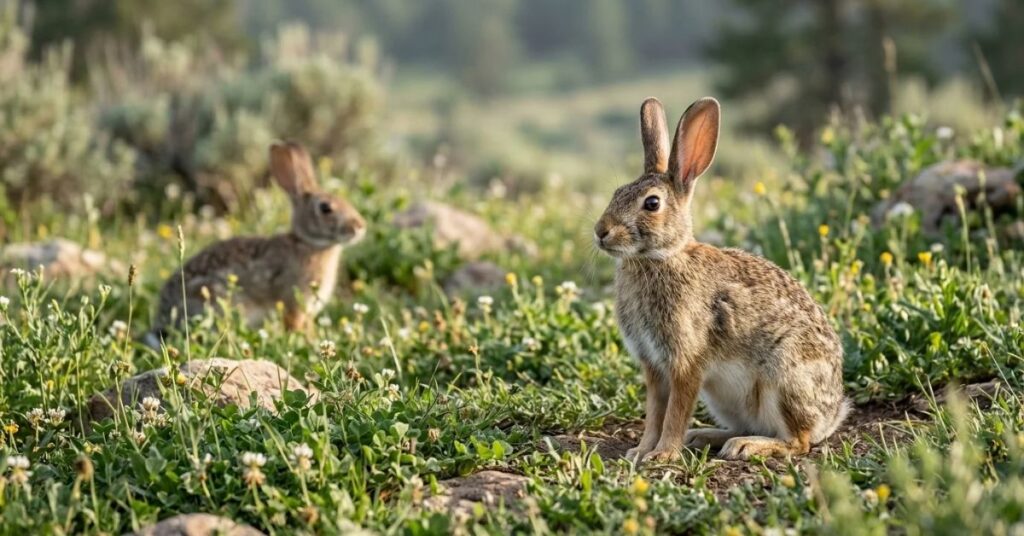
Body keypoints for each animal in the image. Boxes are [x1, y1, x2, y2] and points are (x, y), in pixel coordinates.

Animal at [144, 141, 366, 348]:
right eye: (326, 208)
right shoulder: (293, 301)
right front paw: (308, 341)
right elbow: (295, 324)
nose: (360, 226)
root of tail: (163, 318)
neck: (308, 244)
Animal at [594, 97, 849, 462]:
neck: (660, 258)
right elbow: (655, 413)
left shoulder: (686, 361)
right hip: (724, 399)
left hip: (783, 379)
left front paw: (663, 455)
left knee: (798, 441)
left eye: (652, 203)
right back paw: (706, 436)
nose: (601, 232)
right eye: (616, 193)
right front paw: (641, 451)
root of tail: (832, 414)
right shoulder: (653, 366)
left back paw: (746, 446)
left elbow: (675, 413)